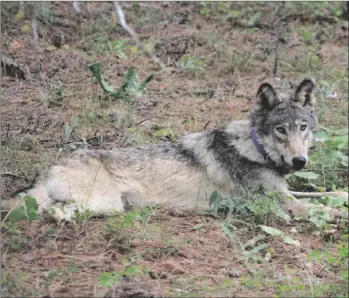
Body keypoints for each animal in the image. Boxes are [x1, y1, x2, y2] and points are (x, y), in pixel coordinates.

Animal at [2, 78, 346, 222]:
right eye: (280, 130)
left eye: (303, 127)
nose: (300, 161)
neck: (255, 148)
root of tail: (49, 168)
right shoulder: (281, 204)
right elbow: (321, 209)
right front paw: (338, 216)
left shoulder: (286, 193)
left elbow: (326, 193)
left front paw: (341, 195)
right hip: (107, 204)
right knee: (50, 211)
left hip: (102, 204)